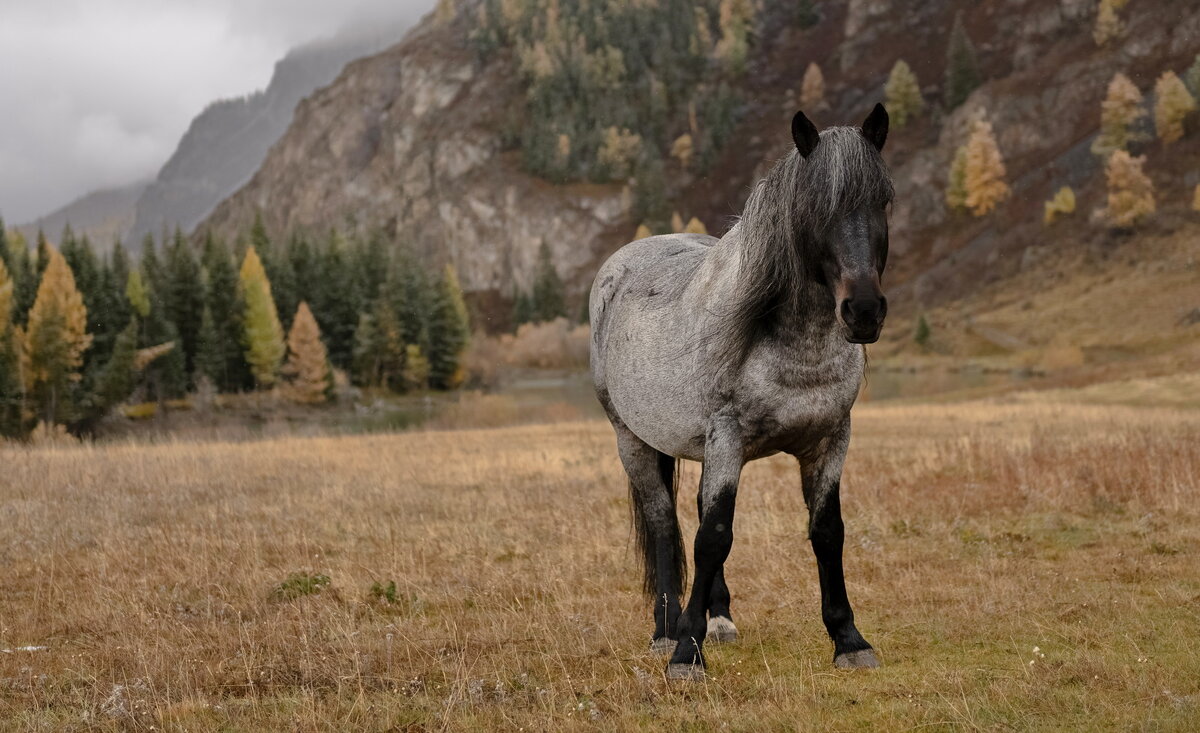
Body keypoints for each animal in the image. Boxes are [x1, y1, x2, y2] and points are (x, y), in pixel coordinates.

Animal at [588, 104, 892, 681]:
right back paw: (666, 629)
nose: (863, 311)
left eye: (884, 199)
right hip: (631, 441)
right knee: (665, 523)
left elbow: (826, 532)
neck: (793, 345)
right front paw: (687, 653)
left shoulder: (830, 441)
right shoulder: (726, 438)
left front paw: (848, 639)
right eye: (813, 209)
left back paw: (719, 618)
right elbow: (711, 538)